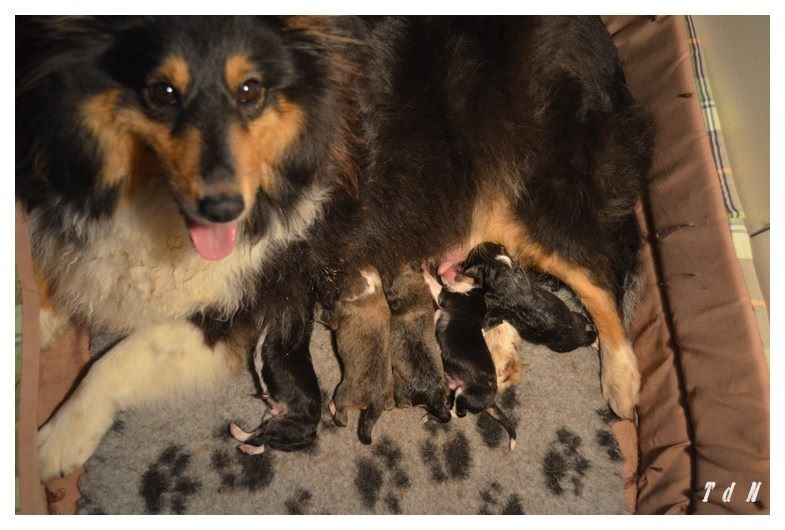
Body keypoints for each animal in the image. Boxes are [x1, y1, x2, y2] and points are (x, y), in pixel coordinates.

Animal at [316, 266, 392, 444]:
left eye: (336, 277)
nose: (323, 275)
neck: (370, 291)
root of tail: (378, 398)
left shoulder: (337, 314)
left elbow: (325, 316)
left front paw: (315, 307)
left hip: (344, 392)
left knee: (342, 416)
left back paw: (332, 408)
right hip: (389, 392)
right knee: (390, 404)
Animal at [422, 266, 516, 448]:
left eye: (462, 271)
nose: (443, 269)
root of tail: (491, 401)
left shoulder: (446, 297)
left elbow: (435, 285)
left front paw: (424, 271)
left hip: (463, 393)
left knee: (458, 414)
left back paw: (432, 415)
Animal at [462, 242, 596, 350]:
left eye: (470, 255)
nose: (461, 263)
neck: (502, 266)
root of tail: (582, 334)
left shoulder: (496, 311)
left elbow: (487, 323)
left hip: (560, 346)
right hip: (576, 316)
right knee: (583, 319)